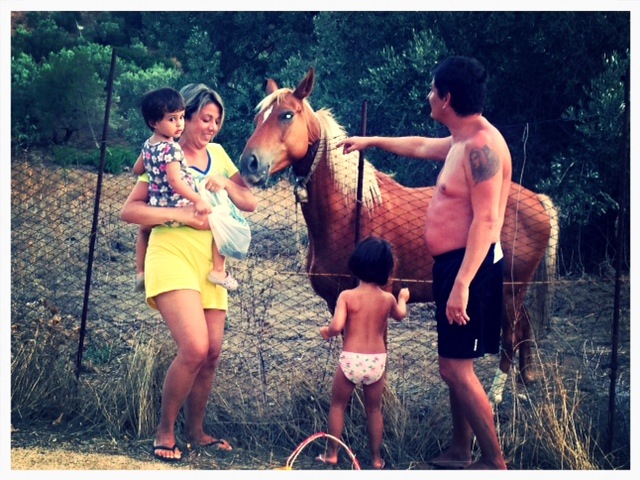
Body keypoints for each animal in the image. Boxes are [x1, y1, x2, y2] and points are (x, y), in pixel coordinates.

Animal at [239, 65, 556, 394]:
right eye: (258, 118)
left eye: (287, 115)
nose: (249, 163)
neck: (351, 212)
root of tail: (538, 200)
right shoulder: (337, 302)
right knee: (524, 326)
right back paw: (526, 379)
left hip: (508, 292)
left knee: (510, 335)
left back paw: (496, 394)